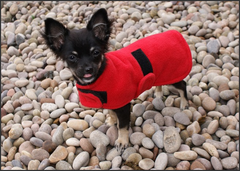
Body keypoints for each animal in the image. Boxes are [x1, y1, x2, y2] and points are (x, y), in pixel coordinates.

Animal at [42, 8, 192, 152]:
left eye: (96, 52)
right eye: (72, 57)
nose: (88, 69)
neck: (100, 77)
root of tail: (174, 33)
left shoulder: (123, 106)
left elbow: (123, 126)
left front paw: (122, 141)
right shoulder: (112, 101)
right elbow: (111, 112)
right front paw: (112, 121)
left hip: (173, 76)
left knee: (183, 85)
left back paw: (184, 104)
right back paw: (159, 93)